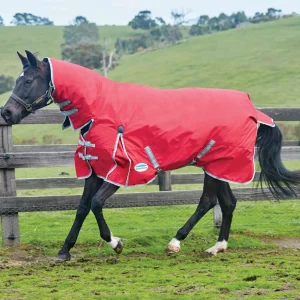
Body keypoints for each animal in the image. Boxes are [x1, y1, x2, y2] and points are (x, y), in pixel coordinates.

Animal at [1, 50, 298, 262]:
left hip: (217, 165)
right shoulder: (95, 169)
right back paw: (217, 247)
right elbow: (83, 207)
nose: (6, 113)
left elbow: (96, 204)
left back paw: (175, 243)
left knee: (207, 201)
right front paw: (65, 251)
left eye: (28, 80)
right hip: (217, 165)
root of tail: (252, 109)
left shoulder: (124, 170)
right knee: (227, 203)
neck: (100, 110)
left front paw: (116, 243)